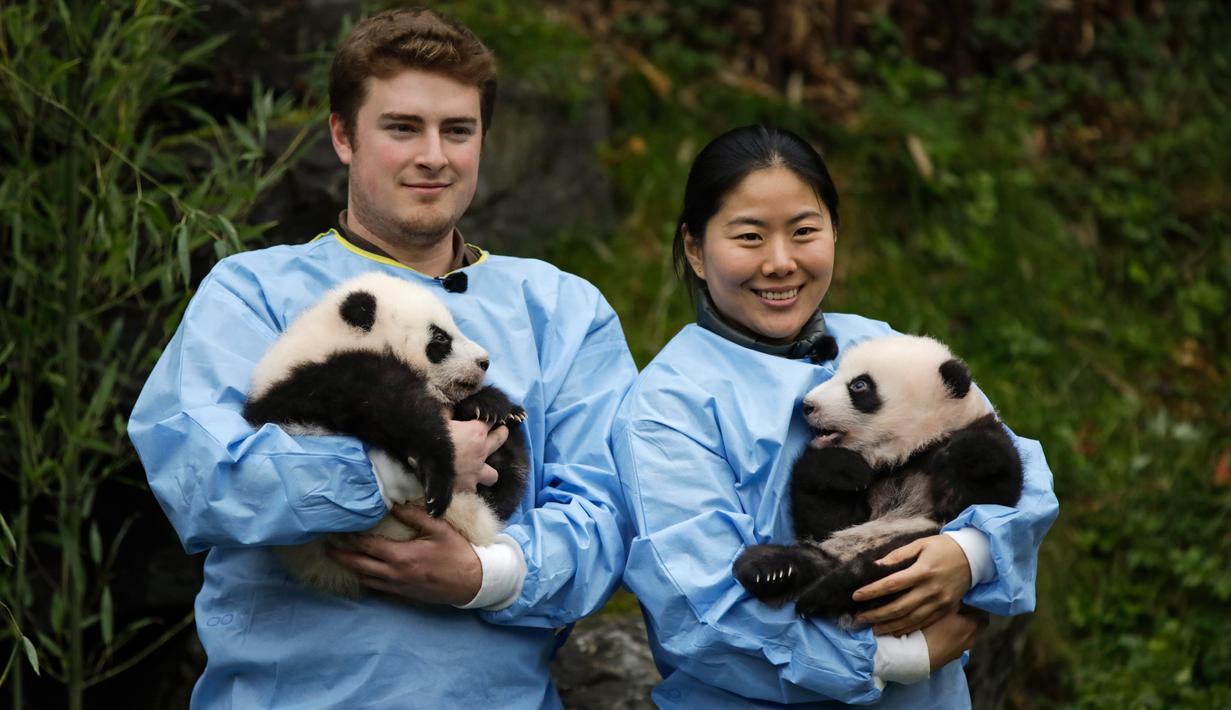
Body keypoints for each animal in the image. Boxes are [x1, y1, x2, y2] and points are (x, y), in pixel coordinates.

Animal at [243, 271, 528, 596]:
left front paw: (494, 407)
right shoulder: (326, 378)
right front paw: (438, 472)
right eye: (440, 338)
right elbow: (398, 411)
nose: (484, 361)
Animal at [734, 334, 1023, 627]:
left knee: (892, 564)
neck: (910, 451)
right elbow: (831, 519)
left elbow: (985, 493)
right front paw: (845, 468)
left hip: (914, 547)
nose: (807, 405)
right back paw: (772, 570)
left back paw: (831, 588)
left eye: (859, 385)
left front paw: (960, 454)